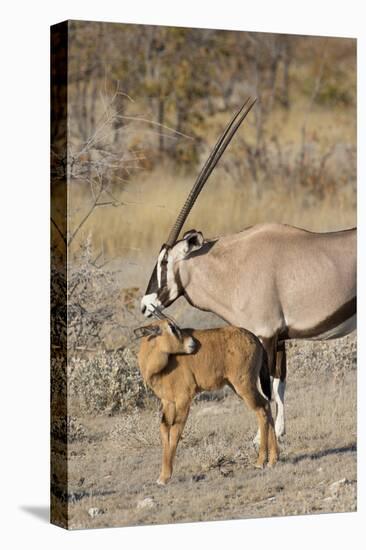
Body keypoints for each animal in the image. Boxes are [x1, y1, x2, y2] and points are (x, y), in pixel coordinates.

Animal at [136, 316, 278, 486]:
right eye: (171, 327)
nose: (192, 344)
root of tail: (255, 339)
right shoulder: (167, 402)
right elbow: (164, 431)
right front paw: (162, 476)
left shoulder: (184, 399)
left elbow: (176, 431)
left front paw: (166, 477)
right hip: (237, 387)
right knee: (266, 405)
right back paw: (273, 459)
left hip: (243, 385)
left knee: (261, 410)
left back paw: (261, 461)